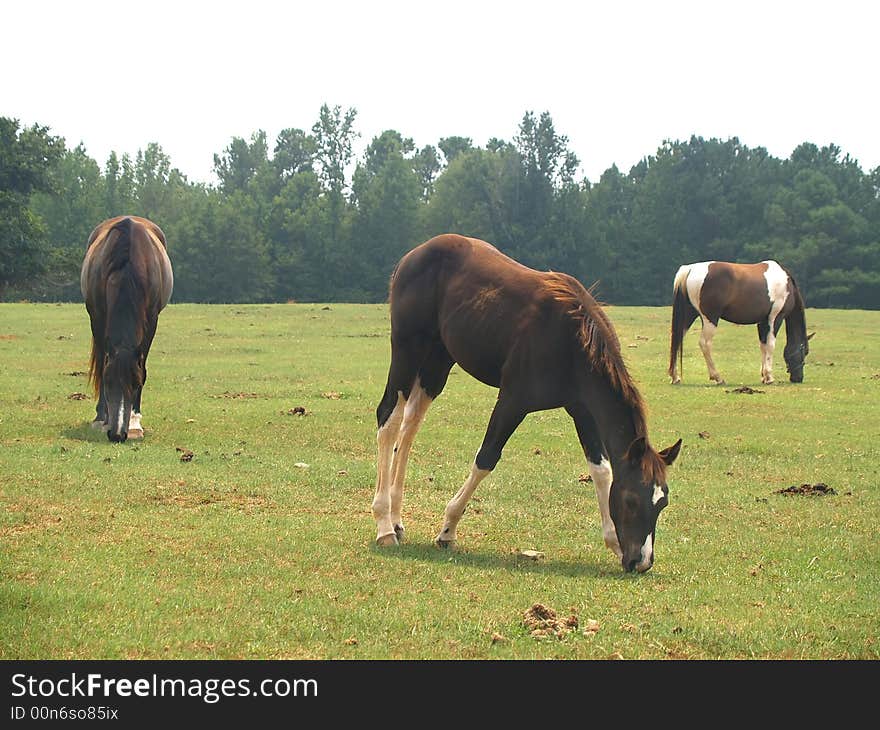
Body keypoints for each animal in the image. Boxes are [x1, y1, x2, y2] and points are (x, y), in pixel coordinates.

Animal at [81, 213, 174, 440]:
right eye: (109, 382)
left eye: (135, 383)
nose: (117, 434)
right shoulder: (97, 318)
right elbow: (102, 364)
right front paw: (102, 418)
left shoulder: (151, 321)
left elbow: (143, 366)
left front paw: (134, 423)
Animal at [372, 236, 680, 572]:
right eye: (632, 500)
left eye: (662, 502)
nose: (641, 561)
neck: (570, 338)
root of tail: (414, 255)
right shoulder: (512, 401)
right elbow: (486, 458)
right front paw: (448, 529)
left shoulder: (582, 411)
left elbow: (601, 470)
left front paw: (612, 540)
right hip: (407, 349)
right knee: (388, 418)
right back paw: (384, 525)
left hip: (437, 362)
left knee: (409, 425)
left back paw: (397, 519)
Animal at [668, 262, 812, 386]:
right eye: (804, 352)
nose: (798, 378)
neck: (787, 285)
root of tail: (690, 269)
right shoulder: (775, 318)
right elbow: (770, 345)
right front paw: (769, 377)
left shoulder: (762, 322)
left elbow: (763, 346)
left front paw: (763, 376)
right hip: (710, 319)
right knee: (705, 344)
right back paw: (718, 377)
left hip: (688, 316)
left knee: (677, 340)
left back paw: (675, 377)